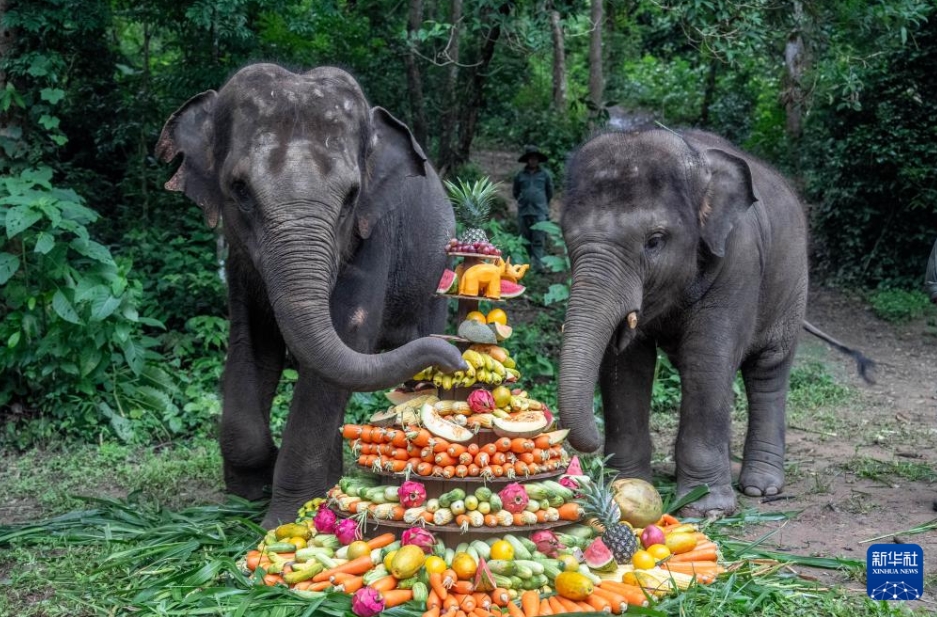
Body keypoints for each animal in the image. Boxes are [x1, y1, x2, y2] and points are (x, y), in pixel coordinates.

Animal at [157, 63, 464, 524]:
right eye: (239, 188)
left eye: (352, 196)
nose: (455, 358)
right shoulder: (239, 261)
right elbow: (253, 343)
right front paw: (249, 492)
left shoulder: (375, 234)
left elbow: (346, 340)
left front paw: (285, 517)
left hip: (435, 277)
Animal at [556, 127, 872, 516]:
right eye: (566, 235)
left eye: (654, 241)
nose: (591, 447)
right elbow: (627, 365)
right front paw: (625, 487)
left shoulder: (740, 260)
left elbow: (708, 360)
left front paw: (707, 509)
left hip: (793, 284)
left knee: (768, 369)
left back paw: (761, 488)